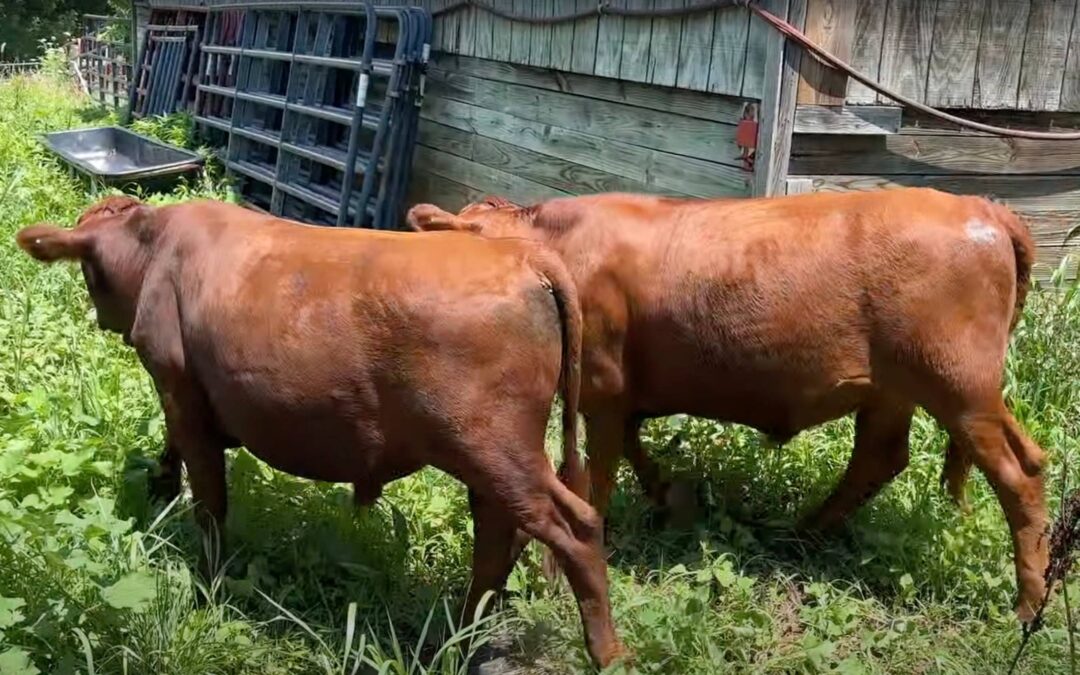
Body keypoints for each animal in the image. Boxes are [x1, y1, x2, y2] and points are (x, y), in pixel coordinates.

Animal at [16, 195, 626, 668]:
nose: (101, 316)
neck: (156, 246)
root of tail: (522, 255)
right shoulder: (186, 398)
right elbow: (174, 454)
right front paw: (160, 485)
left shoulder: (179, 386)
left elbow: (210, 500)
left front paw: (207, 588)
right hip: (491, 458)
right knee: (500, 536)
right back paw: (456, 638)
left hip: (493, 447)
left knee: (573, 526)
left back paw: (607, 654)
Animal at [406, 188, 1050, 624]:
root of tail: (981, 207)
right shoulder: (627, 396)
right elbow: (637, 451)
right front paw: (670, 497)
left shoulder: (604, 391)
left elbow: (598, 476)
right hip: (907, 389)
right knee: (891, 457)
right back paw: (804, 533)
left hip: (959, 387)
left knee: (1018, 476)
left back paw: (1027, 604)